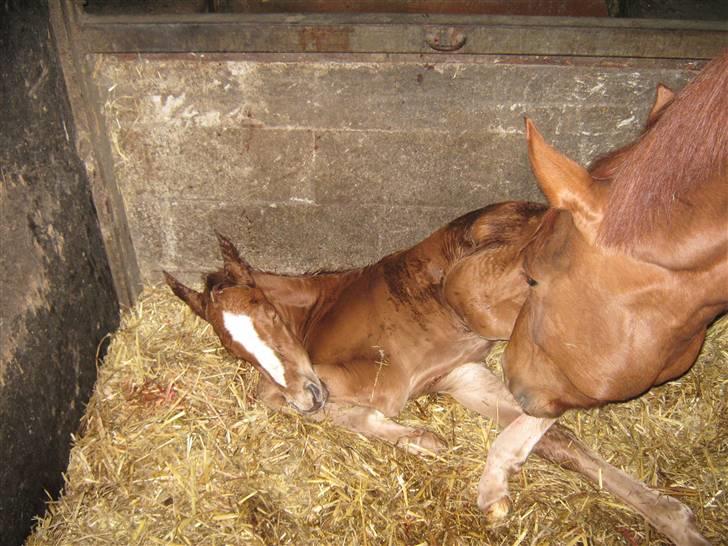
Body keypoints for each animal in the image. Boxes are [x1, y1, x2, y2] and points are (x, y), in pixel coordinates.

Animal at [164, 201, 704, 544]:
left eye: (270, 316)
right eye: (235, 350)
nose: (308, 397)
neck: (319, 309)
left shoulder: (386, 380)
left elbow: (281, 397)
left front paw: (420, 439)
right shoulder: (460, 376)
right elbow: (562, 443)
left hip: (483, 295)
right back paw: (676, 521)